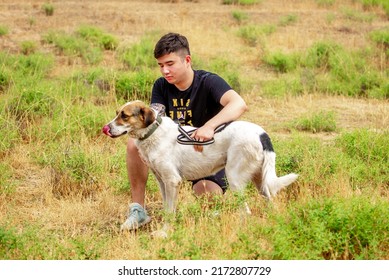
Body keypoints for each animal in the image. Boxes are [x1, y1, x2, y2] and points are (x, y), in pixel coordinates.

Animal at [102, 100, 298, 236]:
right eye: (117, 113)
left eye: (125, 116)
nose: (106, 128)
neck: (153, 133)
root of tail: (261, 133)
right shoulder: (162, 181)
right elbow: (167, 207)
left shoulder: (172, 181)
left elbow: (170, 212)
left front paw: (165, 233)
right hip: (260, 180)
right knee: (270, 201)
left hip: (234, 178)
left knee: (246, 211)